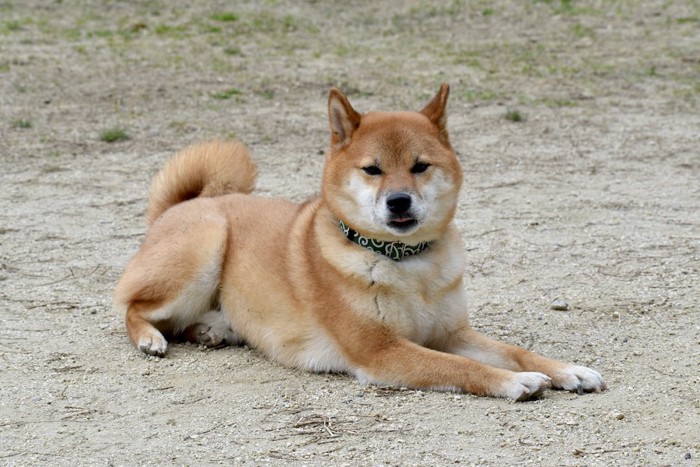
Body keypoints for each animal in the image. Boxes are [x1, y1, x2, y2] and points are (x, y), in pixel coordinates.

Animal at [112, 85, 604, 402]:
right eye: (373, 169)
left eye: (420, 166)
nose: (399, 200)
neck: (406, 264)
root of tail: (184, 205)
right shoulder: (382, 352)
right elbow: (462, 367)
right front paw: (514, 382)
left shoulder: (450, 333)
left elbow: (516, 351)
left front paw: (569, 370)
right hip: (206, 246)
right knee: (133, 307)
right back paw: (150, 338)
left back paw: (211, 330)